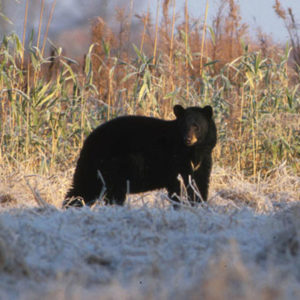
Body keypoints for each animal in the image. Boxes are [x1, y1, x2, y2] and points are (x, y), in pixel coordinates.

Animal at [63, 106, 216, 209]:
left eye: (196, 126)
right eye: (183, 126)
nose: (187, 139)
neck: (192, 151)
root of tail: (88, 140)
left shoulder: (203, 160)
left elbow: (199, 184)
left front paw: (199, 205)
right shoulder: (174, 160)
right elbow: (177, 185)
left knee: (84, 188)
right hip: (111, 168)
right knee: (91, 189)